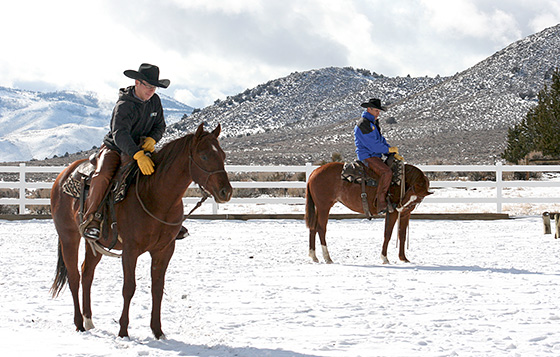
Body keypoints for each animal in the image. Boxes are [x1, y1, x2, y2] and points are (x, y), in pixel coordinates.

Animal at [49, 124, 231, 338]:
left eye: (223, 155)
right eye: (203, 156)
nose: (226, 192)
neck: (155, 196)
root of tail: (62, 176)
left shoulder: (164, 250)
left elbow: (157, 288)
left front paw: (158, 331)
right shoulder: (130, 250)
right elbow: (129, 288)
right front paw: (123, 331)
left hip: (93, 243)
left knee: (87, 273)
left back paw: (89, 320)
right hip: (68, 236)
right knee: (74, 277)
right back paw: (79, 323)